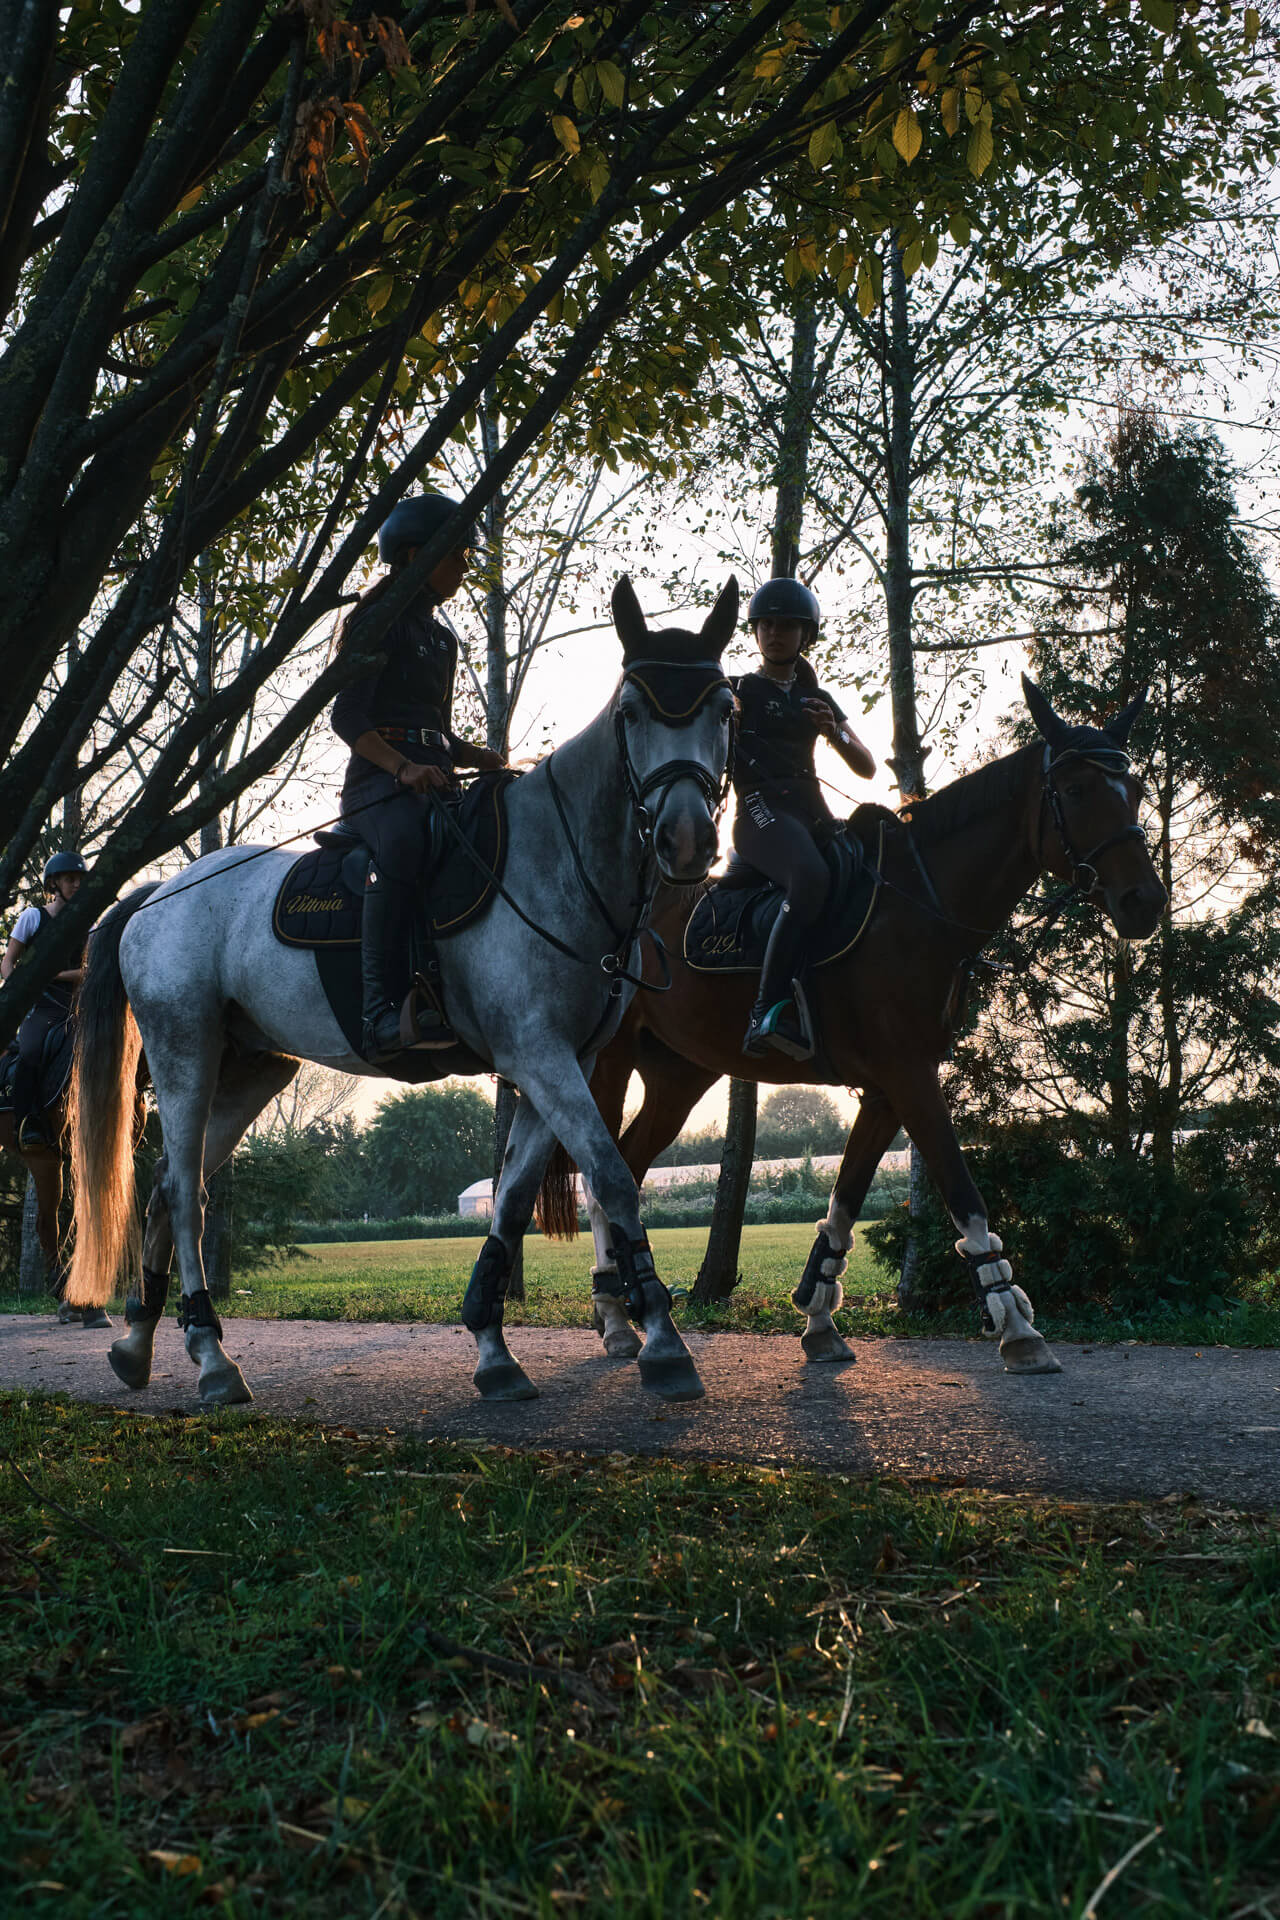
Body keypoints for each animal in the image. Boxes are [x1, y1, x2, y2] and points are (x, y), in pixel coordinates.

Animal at [65, 577, 738, 1407]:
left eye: (724, 710)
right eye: (634, 712)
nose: (688, 840)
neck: (556, 862)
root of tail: (156, 894)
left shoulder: (557, 1062)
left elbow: (512, 1199)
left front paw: (493, 1348)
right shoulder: (541, 1057)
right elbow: (611, 1176)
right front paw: (664, 1343)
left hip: (249, 1070)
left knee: (165, 1188)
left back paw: (138, 1343)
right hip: (184, 1052)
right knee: (187, 1193)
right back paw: (213, 1359)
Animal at [540, 677, 1168, 1377]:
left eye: (1135, 789)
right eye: (1079, 790)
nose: (1144, 901)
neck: (920, 905)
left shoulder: (887, 1087)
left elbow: (846, 1195)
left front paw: (819, 1318)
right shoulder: (909, 1076)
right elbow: (962, 1192)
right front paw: (1015, 1324)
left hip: (679, 1077)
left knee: (626, 1164)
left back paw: (628, 1309)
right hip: (609, 1063)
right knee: (602, 1178)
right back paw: (615, 1314)